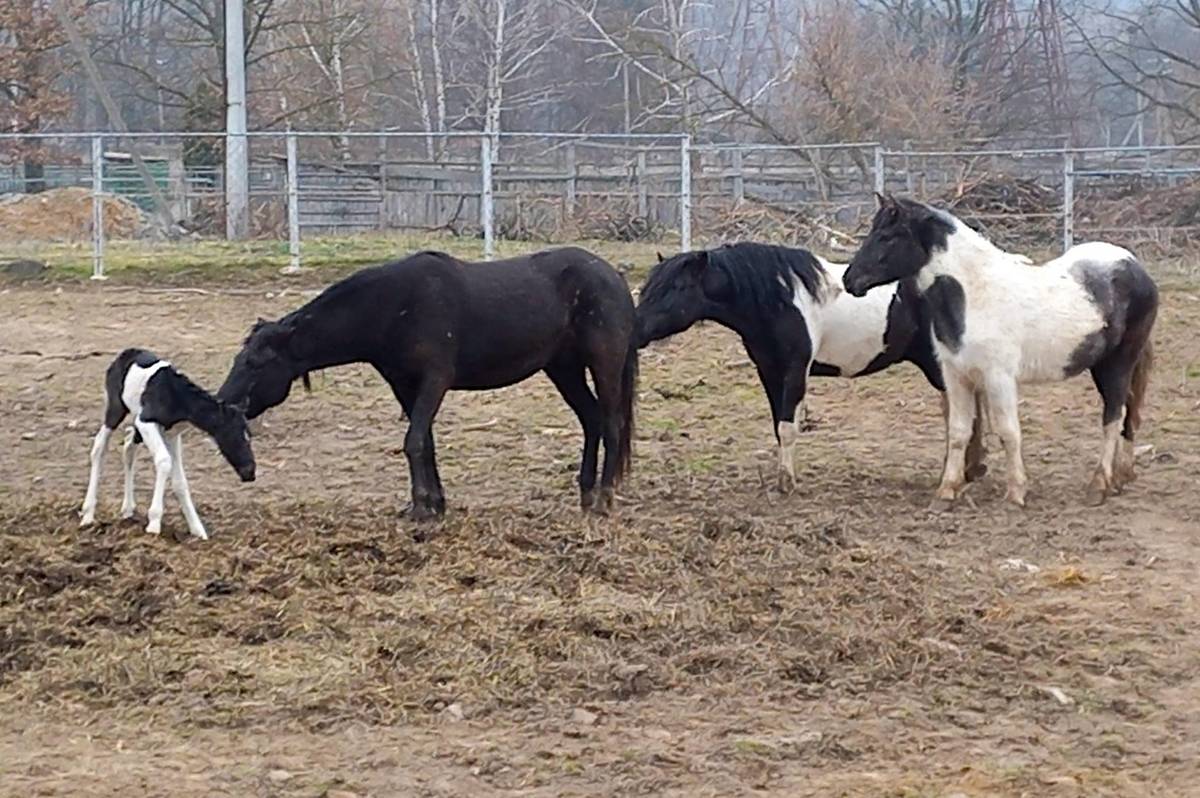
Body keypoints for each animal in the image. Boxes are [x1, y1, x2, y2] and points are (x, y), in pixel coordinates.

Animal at [81, 348, 258, 537]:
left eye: (249, 435)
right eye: (233, 435)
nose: (250, 473)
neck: (177, 398)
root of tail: (125, 353)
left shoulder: (172, 434)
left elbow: (180, 481)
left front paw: (197, 530)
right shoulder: (146, 421)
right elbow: (164, 461)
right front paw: (154, 523)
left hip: (138, 424)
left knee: (128, 446)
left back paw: (127, 509)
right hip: (116, 409)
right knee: (100, 446)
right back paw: (88, 514)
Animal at [220, 247, 643, 516]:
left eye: (255, 363)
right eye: (239, 358)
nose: (223, 402)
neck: (395, 307)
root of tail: (614, 278)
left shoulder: (434, 381)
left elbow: (413, 442)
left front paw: (423, 506)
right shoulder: (404, 387)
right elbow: (426, 443)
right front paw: (434, 503)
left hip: (603, 365)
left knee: (611, 423)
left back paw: (603, 499)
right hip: (563, 369)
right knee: (591, 420)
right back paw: (586, 494)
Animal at [638, 240, 984, 484]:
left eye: (676, 287)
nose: (637, 329)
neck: (779, 300)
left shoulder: (795, 370)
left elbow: (788, 426)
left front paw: (786, 483)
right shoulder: (769, 371)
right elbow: (779, 426)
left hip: (939, 367)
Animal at [840, 194, 1156, 504]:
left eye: (888, 236)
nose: (849, 280)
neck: (974, 296)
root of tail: (1135, 266)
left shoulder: (998, 378)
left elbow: (1008, 432)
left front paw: (1016, 492)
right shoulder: (956, 377)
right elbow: (959, 432)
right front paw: (946, 491)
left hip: (1117, 363)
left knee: (1113, 416)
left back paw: (1099, 485)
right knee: (1127, 413)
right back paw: (1121, 477)